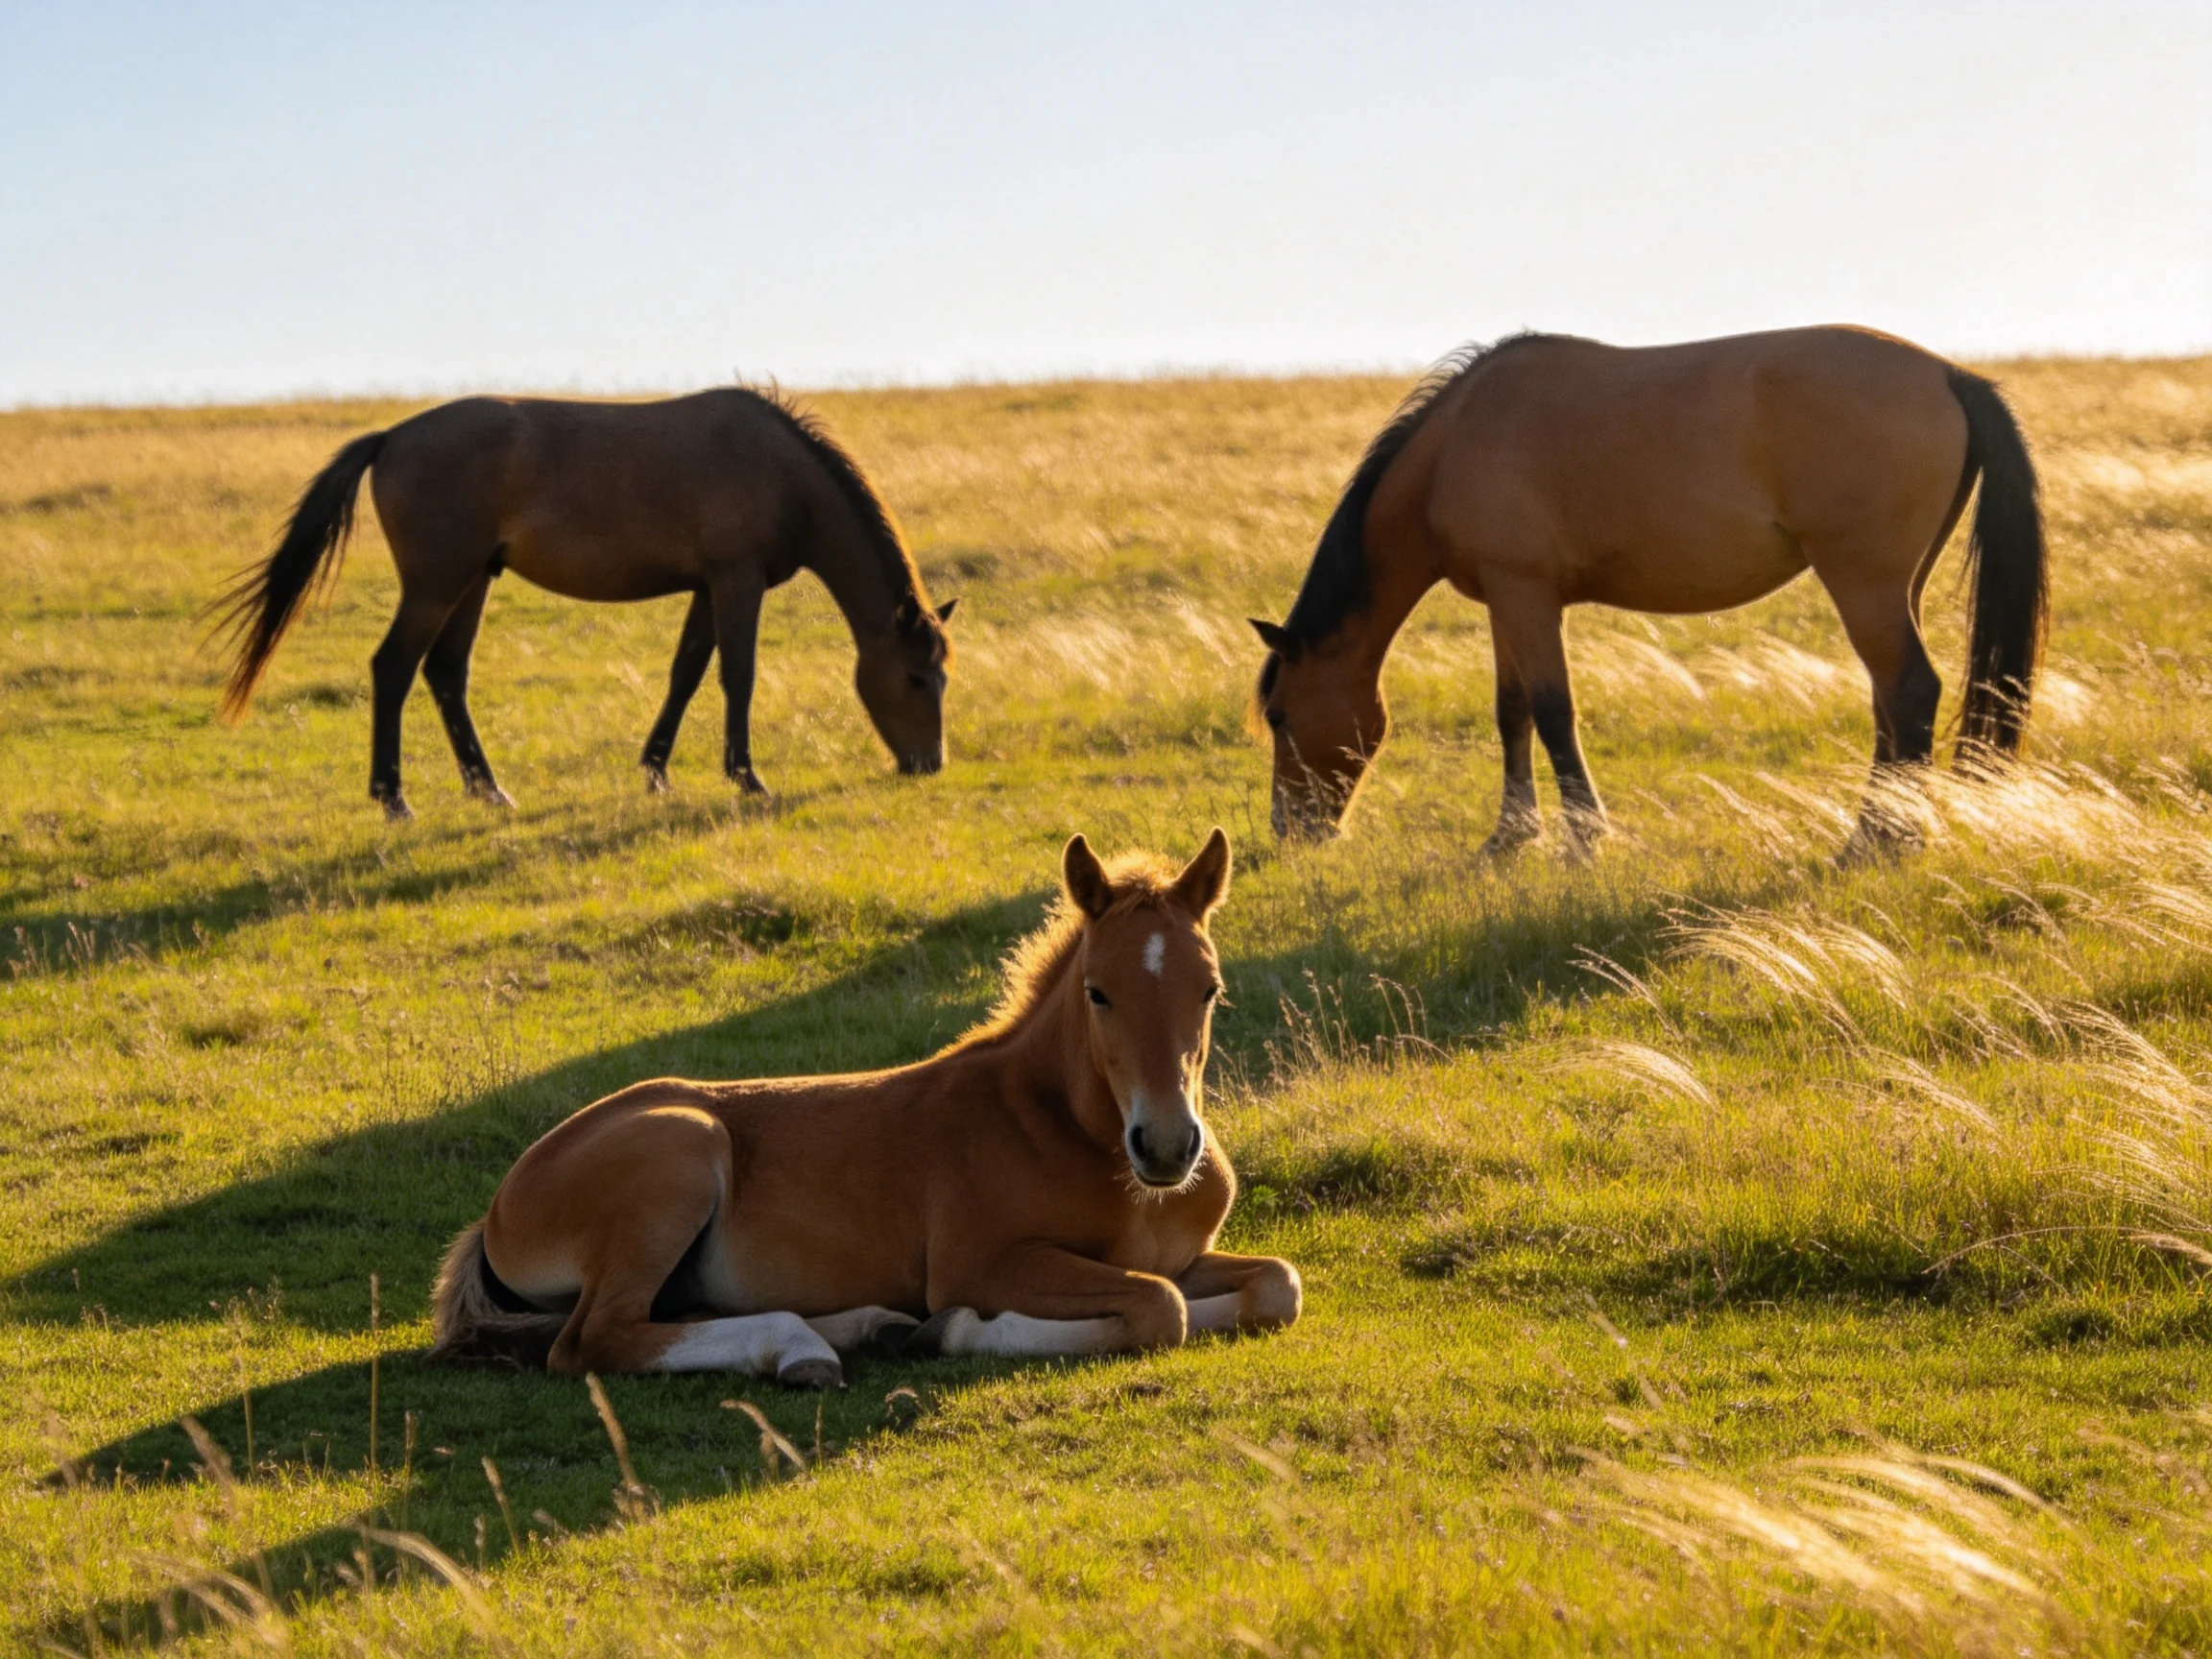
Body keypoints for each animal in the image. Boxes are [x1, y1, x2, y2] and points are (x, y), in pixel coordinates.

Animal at [210, 388, 957, 819]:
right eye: (917, 678)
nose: (930, 764)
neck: (783, 472)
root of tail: (391, 437)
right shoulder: (736, 580)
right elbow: (736, 677)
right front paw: (746, 778)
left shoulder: (707, 586)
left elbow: (685, 675)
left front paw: (656, 772)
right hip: (435, 583)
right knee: (393, 667)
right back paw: (393, 797)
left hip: (473, 581)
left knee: (445, 673)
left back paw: (488, 789)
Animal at [428, 828, 1301, 1383]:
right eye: (1099, 993)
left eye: (1209, 989)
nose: (1167, 1147)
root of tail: (497, 1210)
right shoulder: (984, 1263)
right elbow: (1158, 1306)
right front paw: (959, 1331)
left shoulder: (1186, 1254)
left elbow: (1275, 1286)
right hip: (676, 1154)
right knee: (593, 1343)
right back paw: (806, 1350)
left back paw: (861, 1329)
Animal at [1249, 327, 2047, 859]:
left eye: (1280, 715)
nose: (1291, 832)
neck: (1454, 449)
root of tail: (1949, 375)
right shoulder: (1509, 601)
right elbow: (1512, 714)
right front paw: (1509, 837)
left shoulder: (1527, 596)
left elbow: (1553, 712)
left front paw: (1583, 841)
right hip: (1894, 587)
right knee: (1889, 696)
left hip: (1864, 583)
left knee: (1909, 690)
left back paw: (1878, 843)